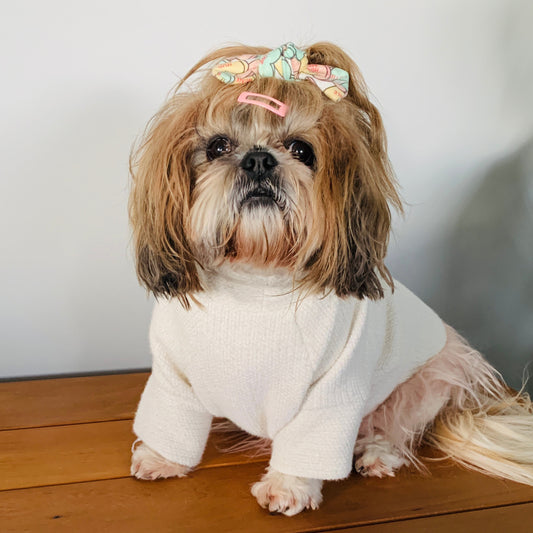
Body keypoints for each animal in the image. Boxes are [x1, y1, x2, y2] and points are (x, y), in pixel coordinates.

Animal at [129, 42, 532, 516]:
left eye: (302, 150)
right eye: (217, 146)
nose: (259, 158)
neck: (256, 281)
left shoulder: (335, 387)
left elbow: (311, 440)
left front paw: (287, 488)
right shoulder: (174, 374)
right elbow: (172, 418)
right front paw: (161, 458)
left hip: (432, 378)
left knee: (399, 425)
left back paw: (376, 451)